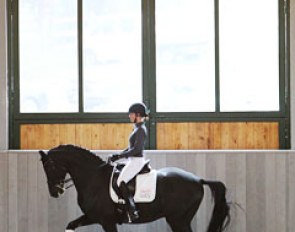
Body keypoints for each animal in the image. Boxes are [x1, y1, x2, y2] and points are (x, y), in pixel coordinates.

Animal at [38, 144, 231, 231]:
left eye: (50, 166)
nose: (55, 192)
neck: (93, 177)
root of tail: (198, 179)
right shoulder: (93, 217)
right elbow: (71, 225)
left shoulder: (106, 220)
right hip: (178, 219)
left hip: (178, 220)